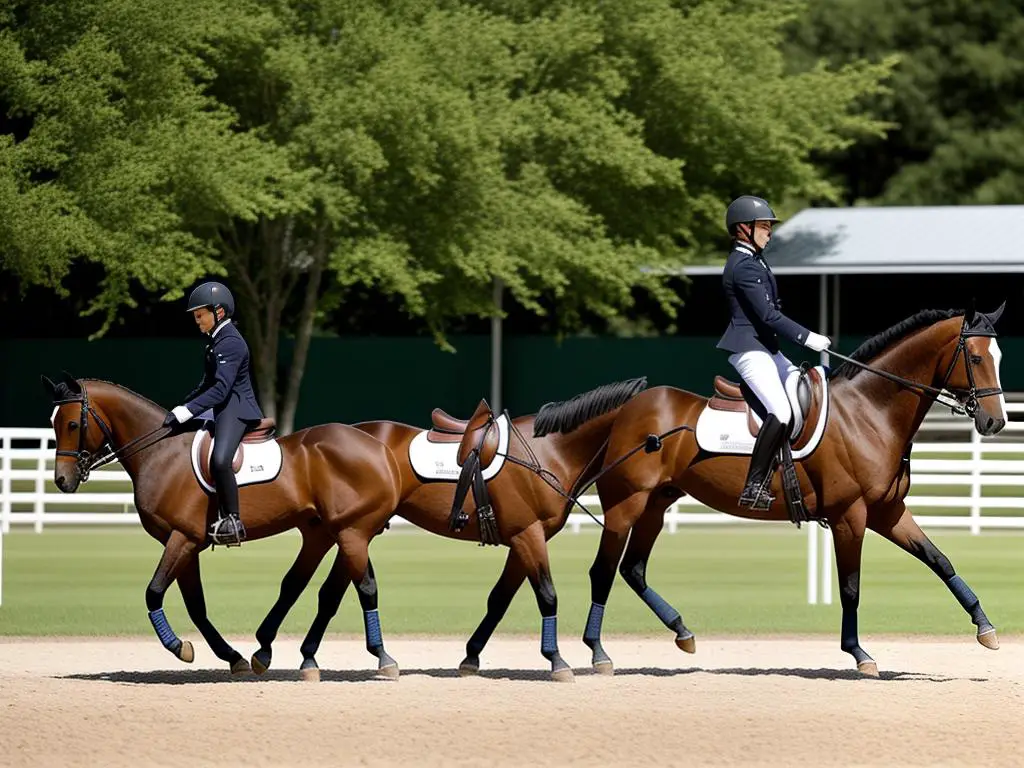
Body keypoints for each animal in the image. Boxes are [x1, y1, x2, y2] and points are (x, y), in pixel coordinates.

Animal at [44, 376, 403, 675]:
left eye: (72, 423)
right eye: (53, 424)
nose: (62, 480)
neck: (160, 453)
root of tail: (378, 448)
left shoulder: (182, 539)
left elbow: (154, 592)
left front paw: (178, 647)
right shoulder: (186, 544)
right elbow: (196, 607)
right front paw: (232, 657)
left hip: (351, 532)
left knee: (362, 587)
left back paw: (380, 657)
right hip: (329, 532)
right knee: (313, 585)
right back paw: (280, 653)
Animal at [245, 376, 647, 684]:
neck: (548, 450)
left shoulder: (525, 538)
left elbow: (500, 598)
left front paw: (471, 656)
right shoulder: (528, 535)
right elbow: (547, 595)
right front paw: (557, 660)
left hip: (348, 532)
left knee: (324, 591)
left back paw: (296, 655)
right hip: (350, 532)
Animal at [581, 303, 1003, 675]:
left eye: (997, 356)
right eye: (976, 359)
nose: (995, 422)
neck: (868, 413)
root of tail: (628, 409)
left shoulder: (888, 512)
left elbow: (939, 560)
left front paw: (985, 627)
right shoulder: (850, 517)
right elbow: (850, 588)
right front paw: (859, 654)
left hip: (656, 503)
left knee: (633, 570)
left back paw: (681, 632)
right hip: (624, 505)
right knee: (603, 571)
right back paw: (598, 653)